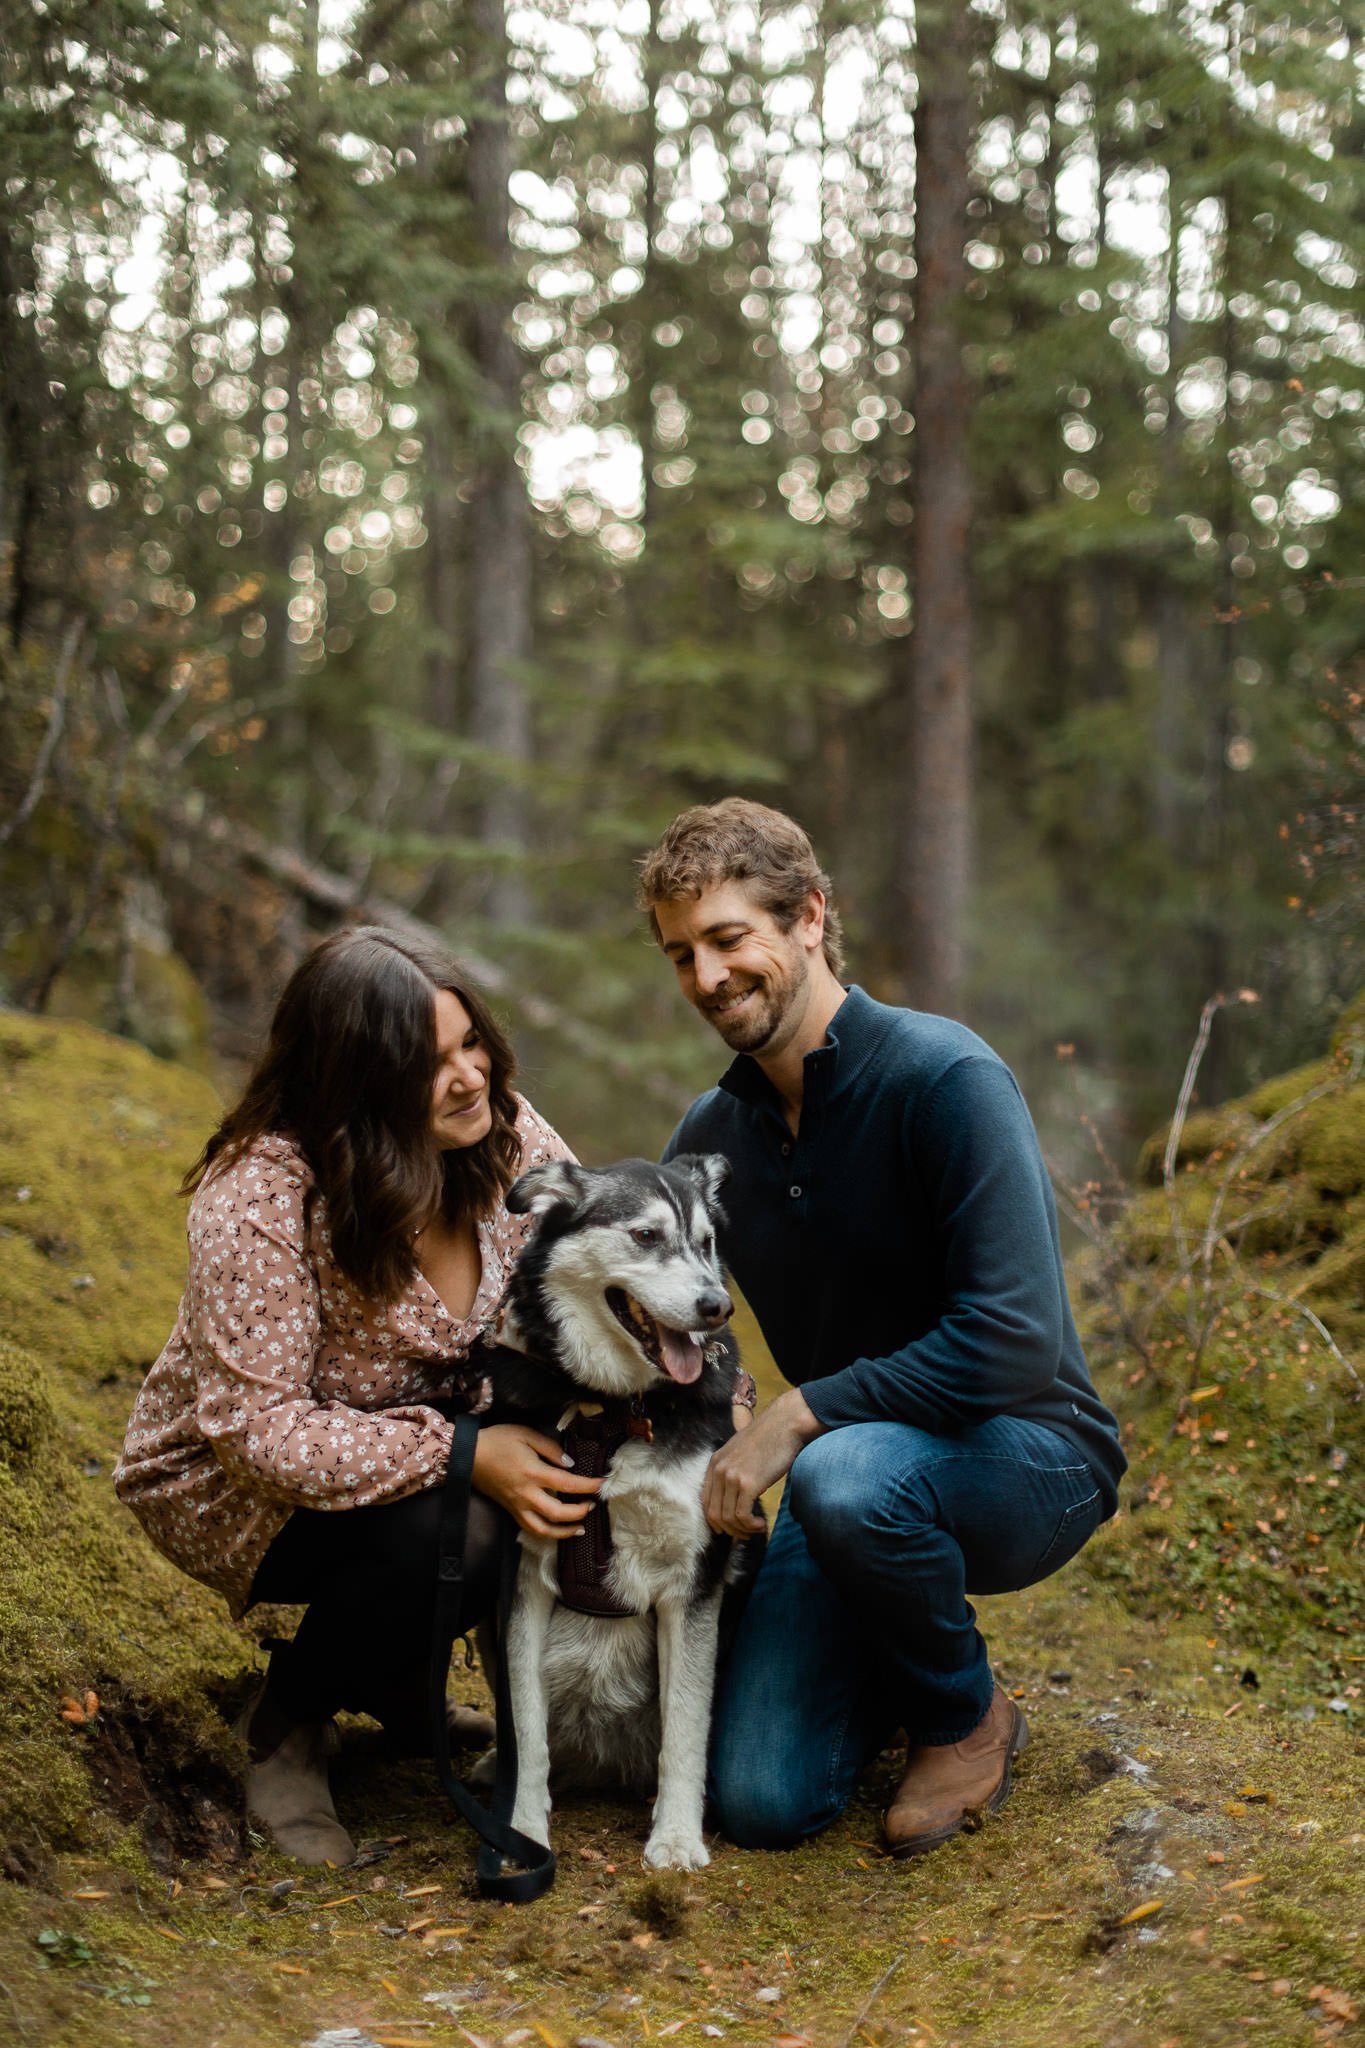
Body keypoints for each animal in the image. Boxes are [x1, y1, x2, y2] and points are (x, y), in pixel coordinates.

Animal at [489, 1155, 769, 1875]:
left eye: (706, 1242)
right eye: (646, 1236)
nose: (716, 1305)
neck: (608, 1412)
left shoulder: (691, 1586)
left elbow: (686, 1727)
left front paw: (675, 1837)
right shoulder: (523, 1579)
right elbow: (525, 1731)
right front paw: (522, 1833)